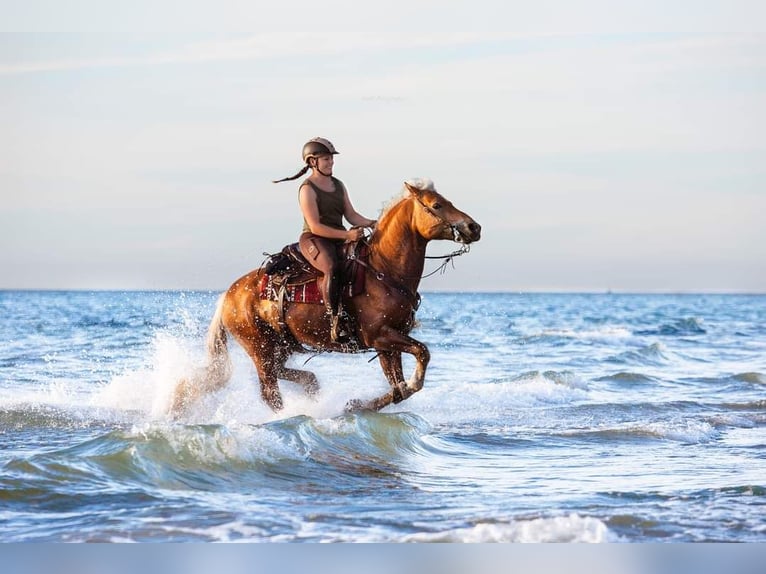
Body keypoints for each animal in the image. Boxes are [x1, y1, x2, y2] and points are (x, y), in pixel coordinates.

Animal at [170, 178, 481, 415]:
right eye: (437, 205)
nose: (473, 227)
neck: (384, 270)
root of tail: (229, 295)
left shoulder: (388, 343)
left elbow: (399, 389)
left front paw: (357, 404)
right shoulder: (380, 335)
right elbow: (421, 357)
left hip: (281, 345)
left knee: (288, 375)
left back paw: (312, 389)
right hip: (259, 348)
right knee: (270, 393)